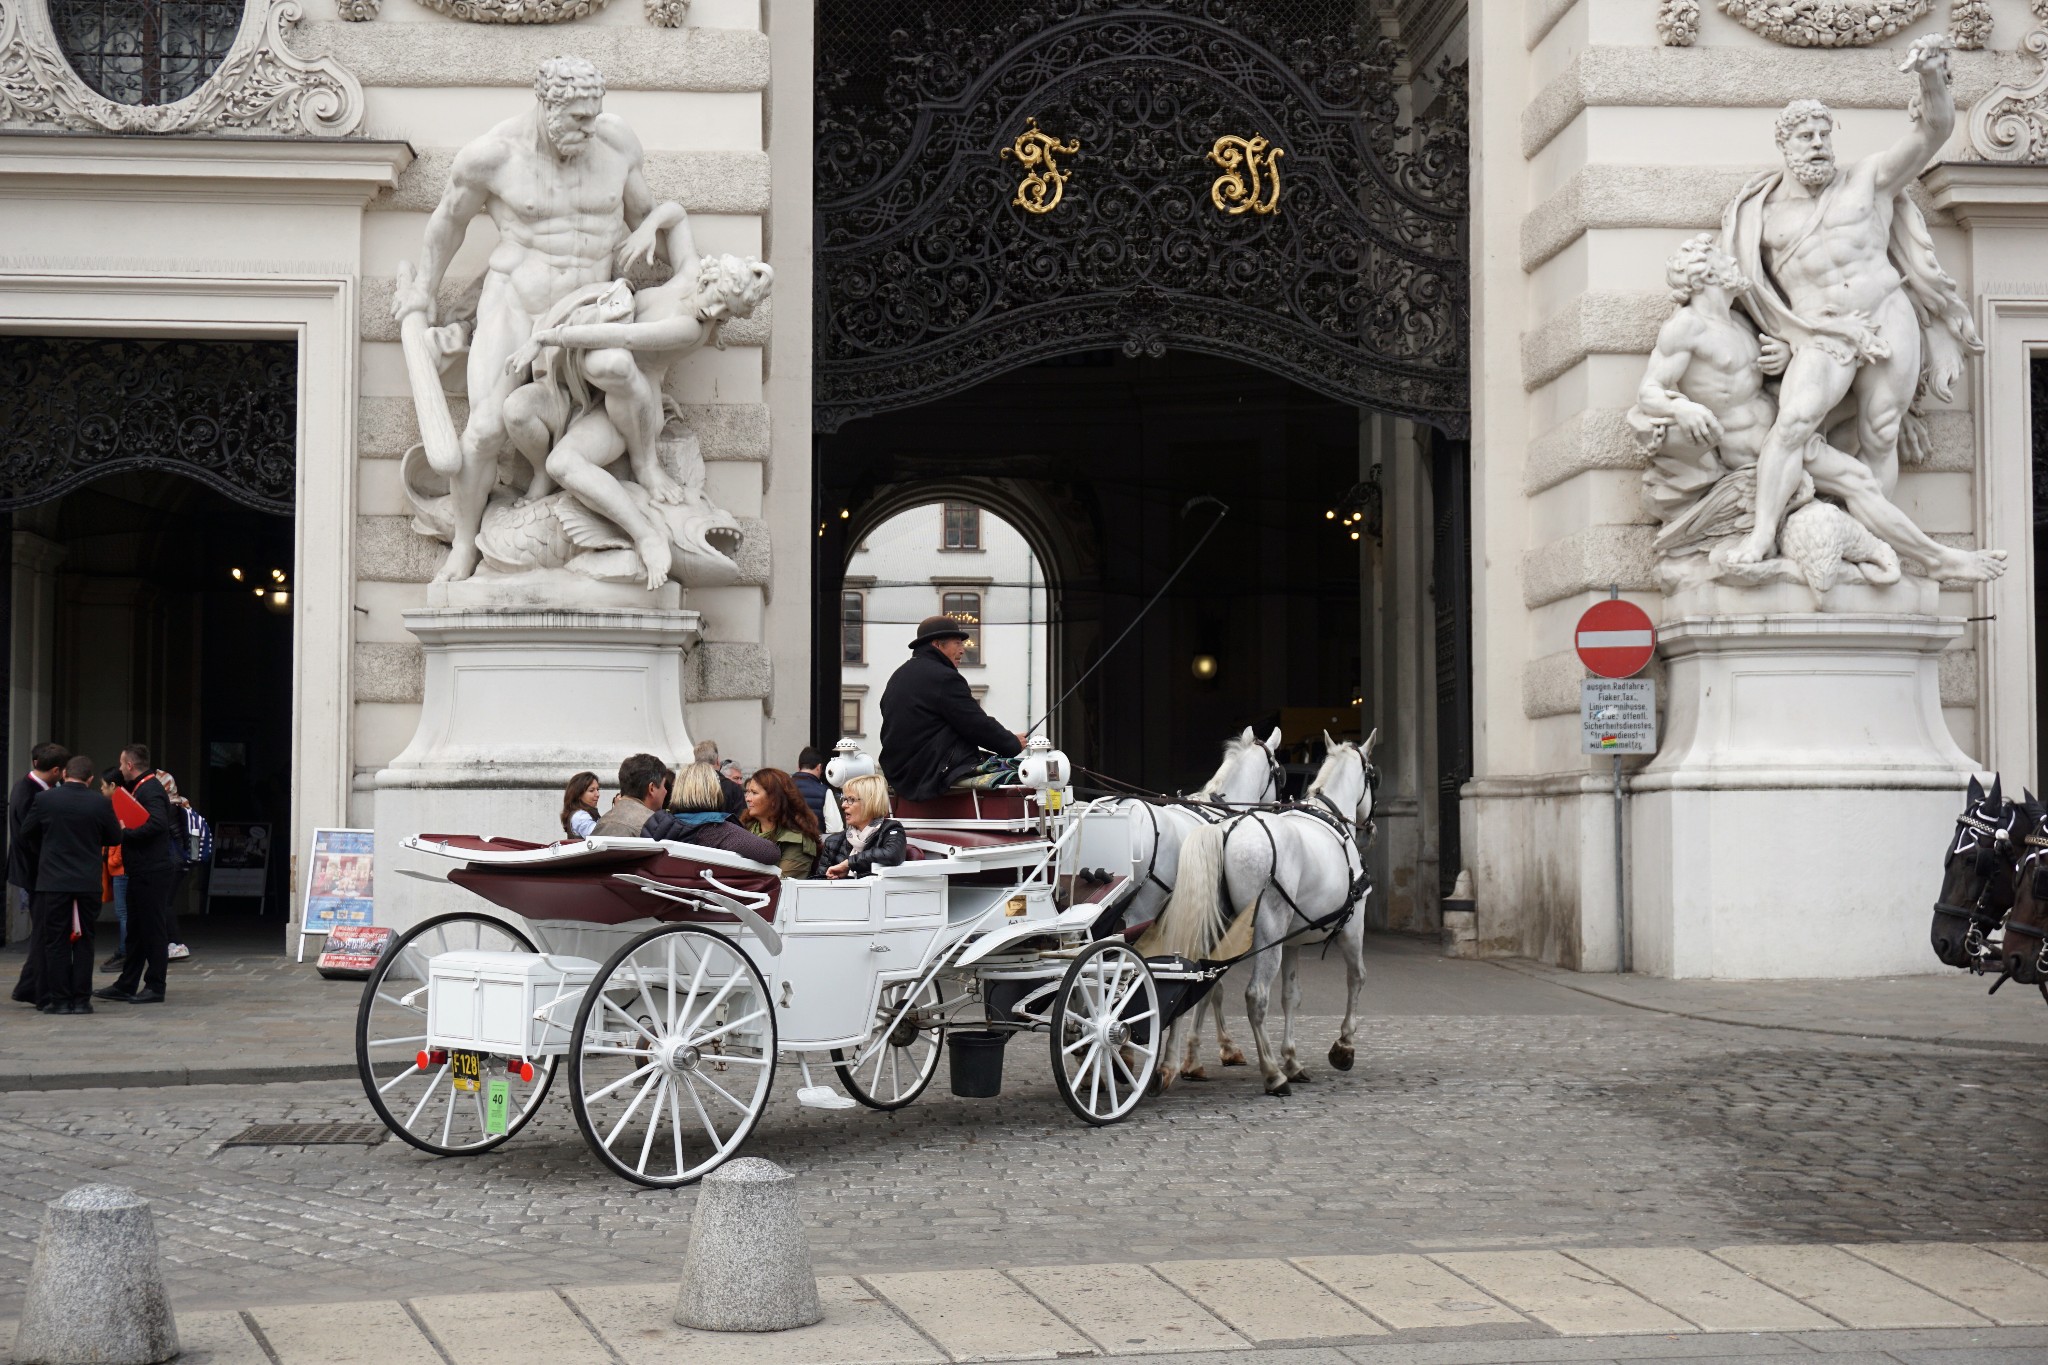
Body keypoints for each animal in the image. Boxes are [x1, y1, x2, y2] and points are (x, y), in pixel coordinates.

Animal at [1155, 732, 1376, 1096]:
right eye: (1373, 774)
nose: (1370, 829)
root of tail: (1225, 831)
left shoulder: (1293, 942)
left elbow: (1291, 996)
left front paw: (1293, 1059)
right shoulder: (1352, 926)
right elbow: (1357, 977)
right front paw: (1344, 1046)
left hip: (1213, 928)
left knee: (1192, 982)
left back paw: (1172, 1065)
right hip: (1267, 930)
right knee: (1255, 995)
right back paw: (1272, 1073)